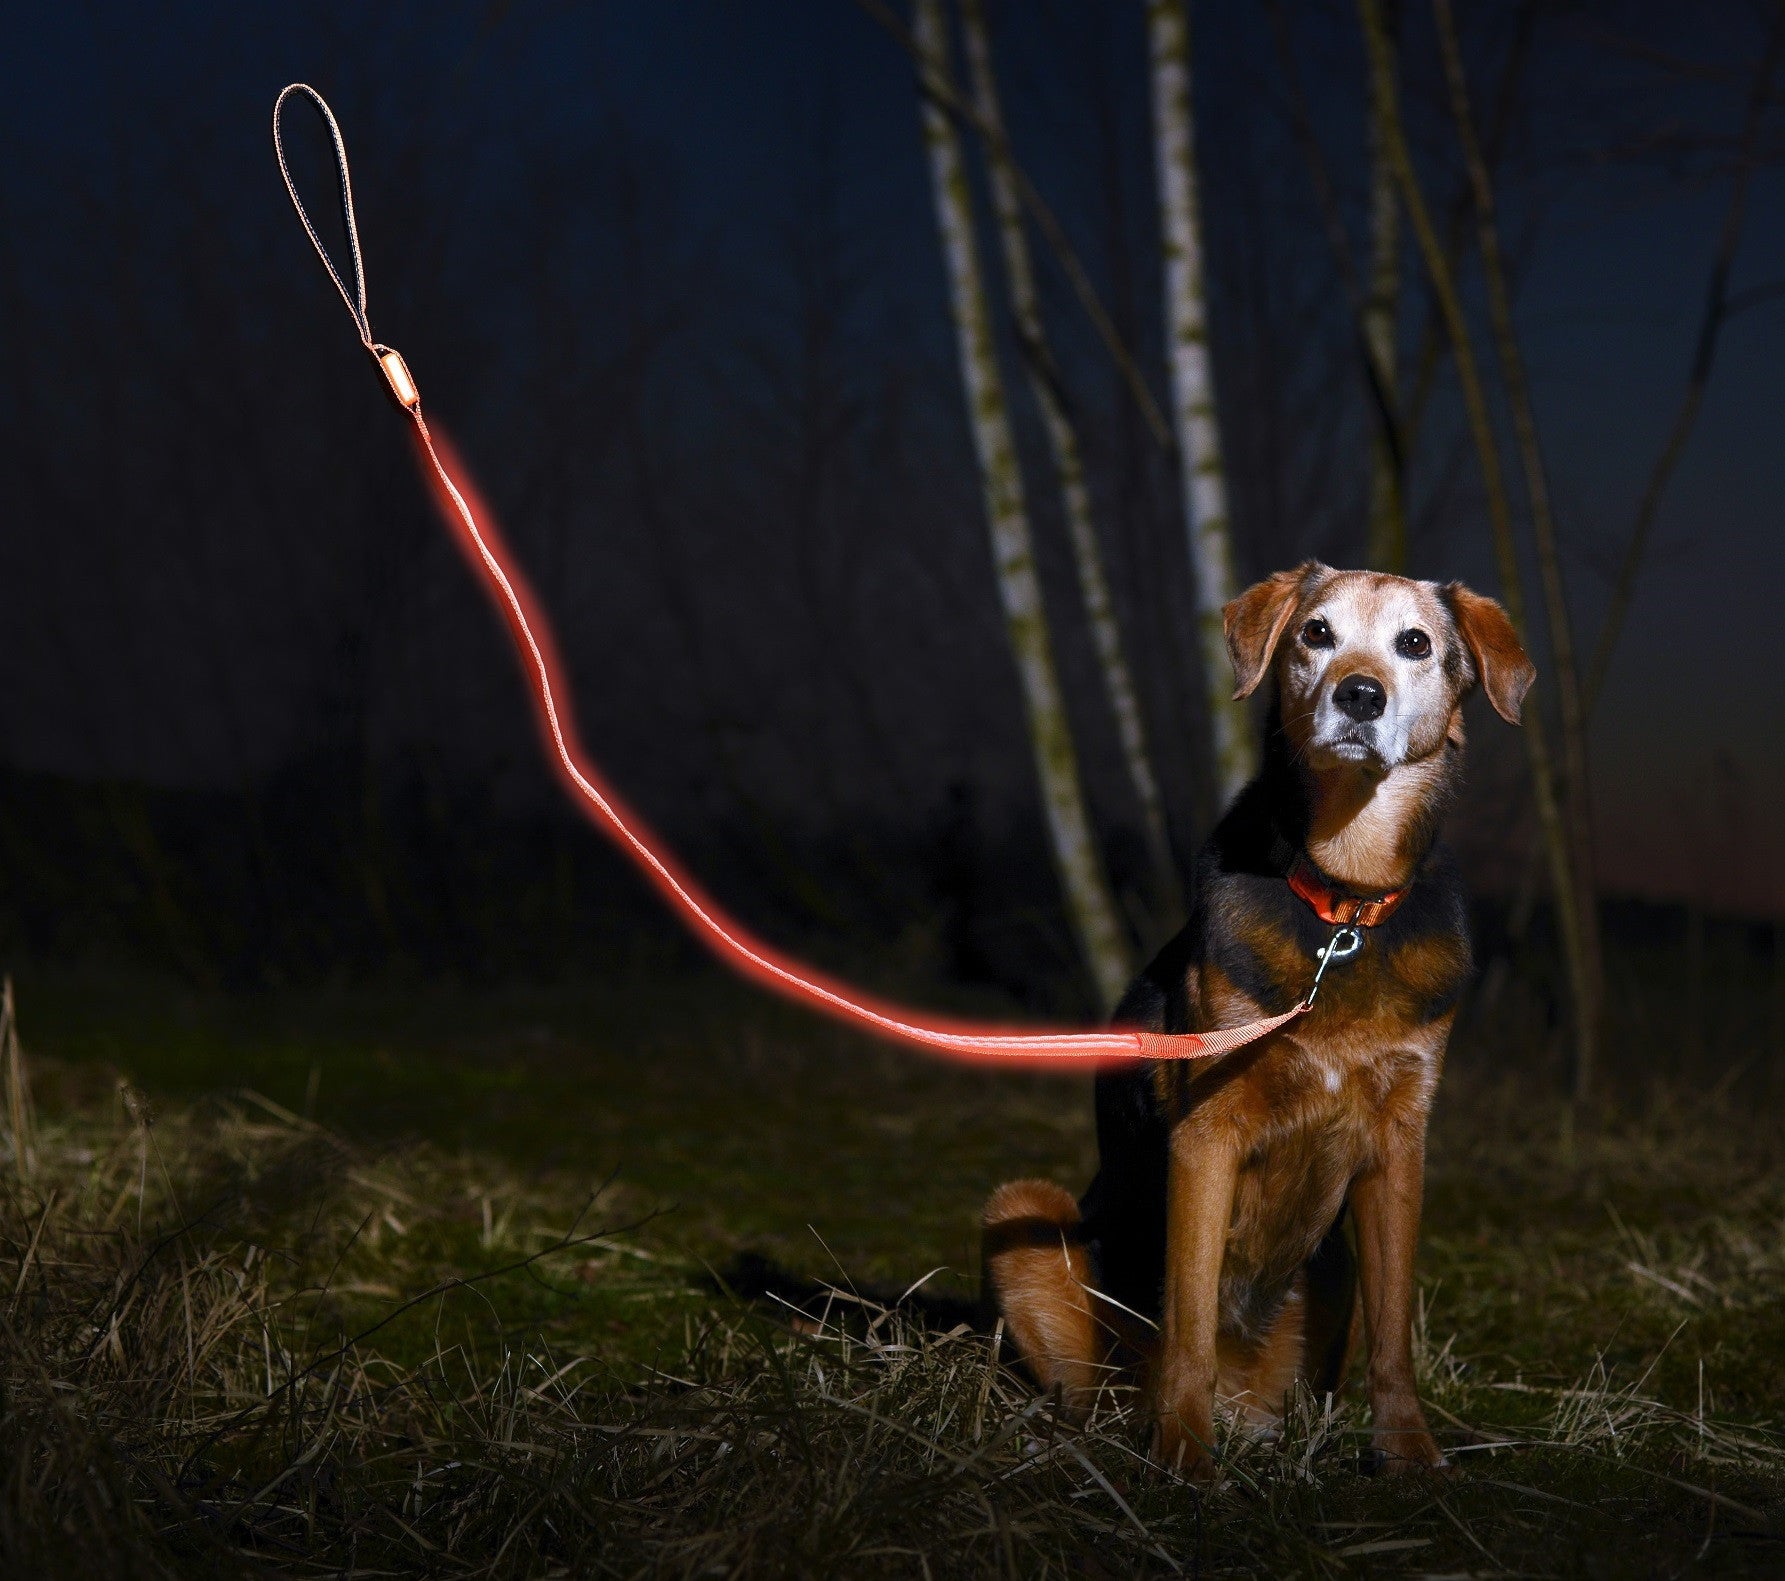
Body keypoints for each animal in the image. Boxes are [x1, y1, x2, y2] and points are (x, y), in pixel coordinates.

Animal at [985, 563, 1527, 1477]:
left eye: (1414, 643)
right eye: (1316, 632)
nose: (1357, 694)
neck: (1342, 901)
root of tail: (1251, 1411)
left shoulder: (1399, 1143)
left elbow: (1393, 1338)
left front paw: (1407, 1456)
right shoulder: (1207, 1134)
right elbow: (1190, 1322)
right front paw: (1180, 1452)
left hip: (1330, 1264)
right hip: (1024, 1218)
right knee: (1089, 1386)